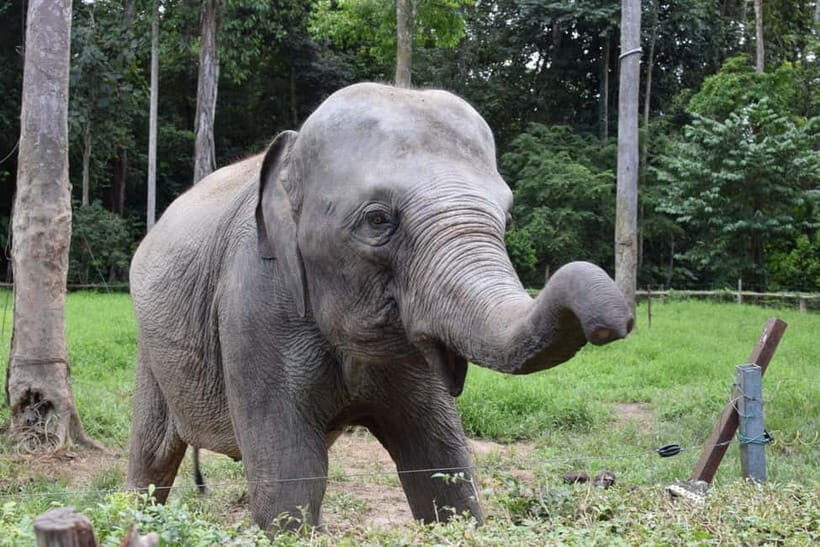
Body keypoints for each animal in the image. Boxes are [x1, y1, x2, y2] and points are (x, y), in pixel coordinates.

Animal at [127, 82, 633, 530]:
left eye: (506, 218)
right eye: (377, 220)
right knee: (151, 455)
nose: (614, 324)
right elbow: (291, 480)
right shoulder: (253, 303)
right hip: (149, 348)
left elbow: (439, 458)